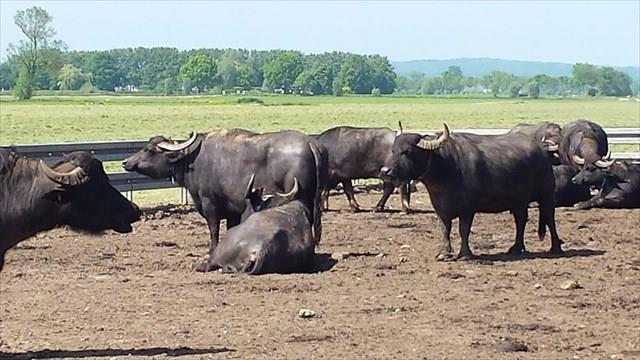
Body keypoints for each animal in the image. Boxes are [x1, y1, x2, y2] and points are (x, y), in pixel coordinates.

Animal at [123, 128, 328, 272]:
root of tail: (309, 144)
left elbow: (213, 230)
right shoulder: (233, 212)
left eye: (149, 150)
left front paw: (210, 249)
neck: (194, 159)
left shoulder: (209, 205)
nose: (125, 162)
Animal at [380, 124, 560, 258]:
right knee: (521, 220)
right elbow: (445, 229)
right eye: (393, 150)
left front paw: (465, 253)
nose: (386, 171)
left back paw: (556, 248)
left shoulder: (467, 209)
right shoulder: (440, 208)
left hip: (546, 195)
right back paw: (516, 248)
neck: (446, 169)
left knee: (549, 219)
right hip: (518, 202)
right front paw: (444, 253)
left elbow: (463, 229)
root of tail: (542, 152)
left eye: (407, 152)